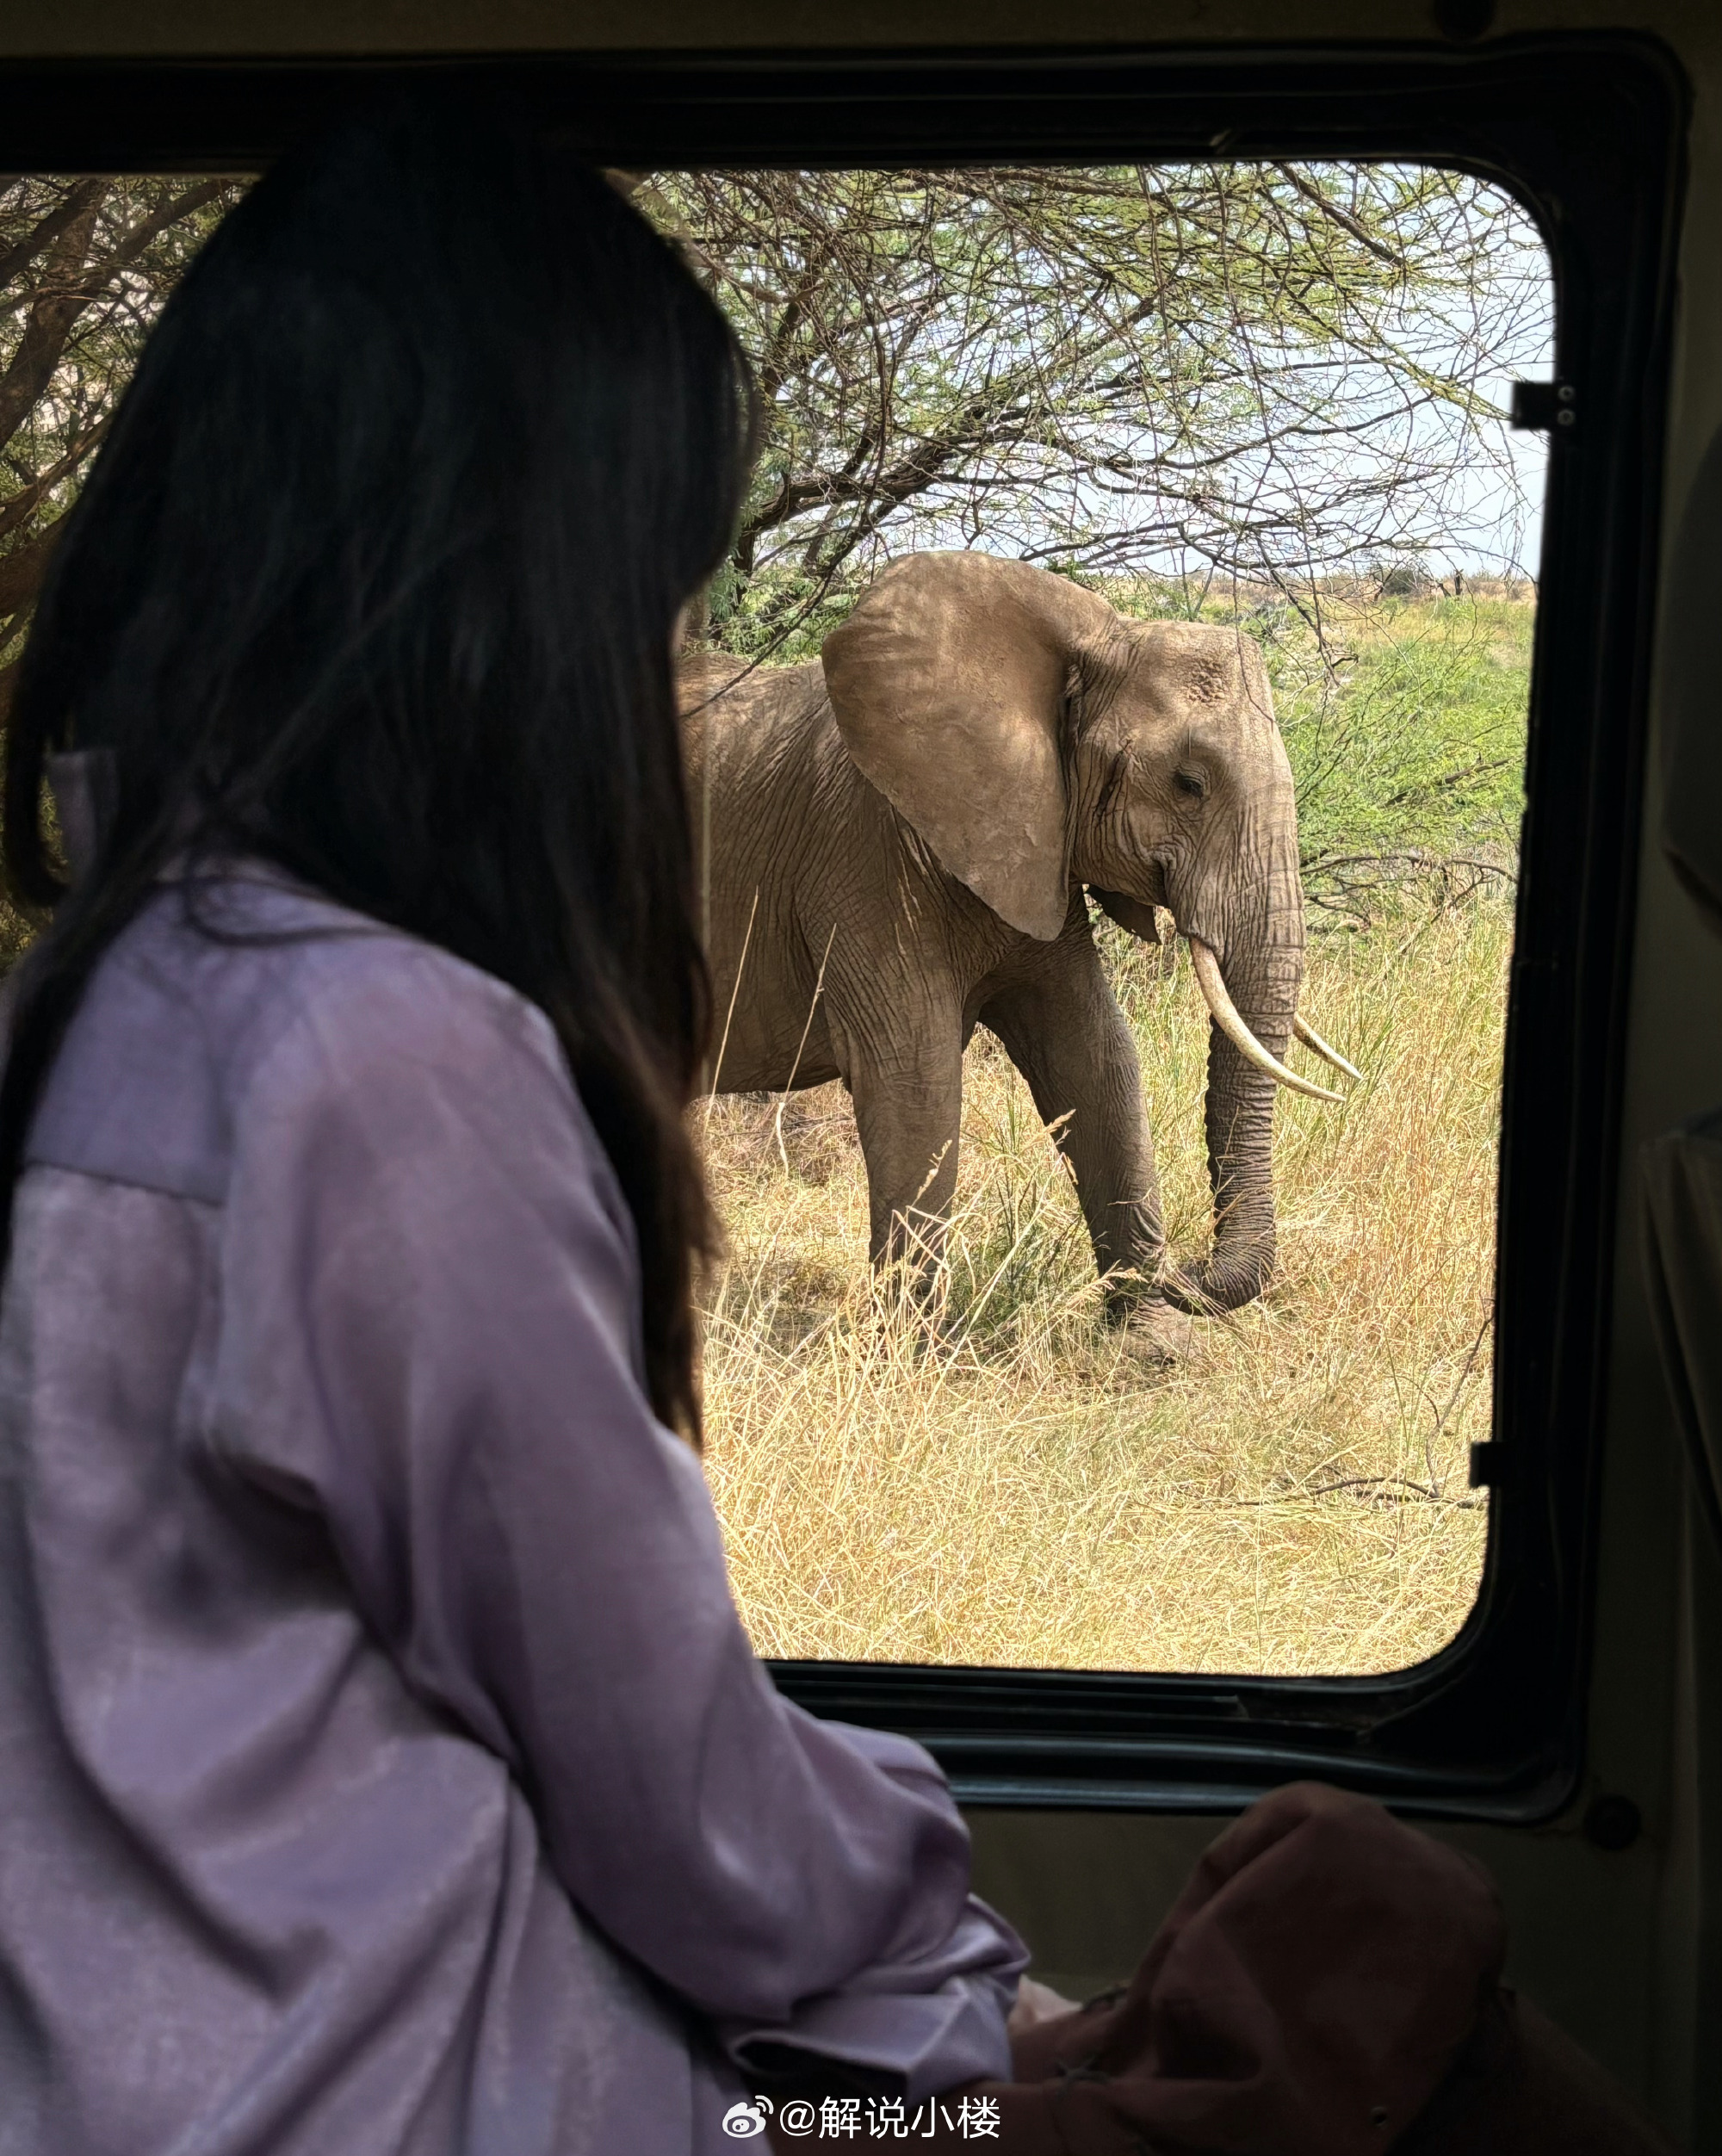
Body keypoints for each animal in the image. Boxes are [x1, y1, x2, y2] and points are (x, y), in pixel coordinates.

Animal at [680, 556, 1353, 1354]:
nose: (1186, 1271)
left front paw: (1151, 1344)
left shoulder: (1038, 843)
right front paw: (914, 1359)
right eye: (1189, 784)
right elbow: (915, 1077)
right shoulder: (863, 853)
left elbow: (1094, 1057)